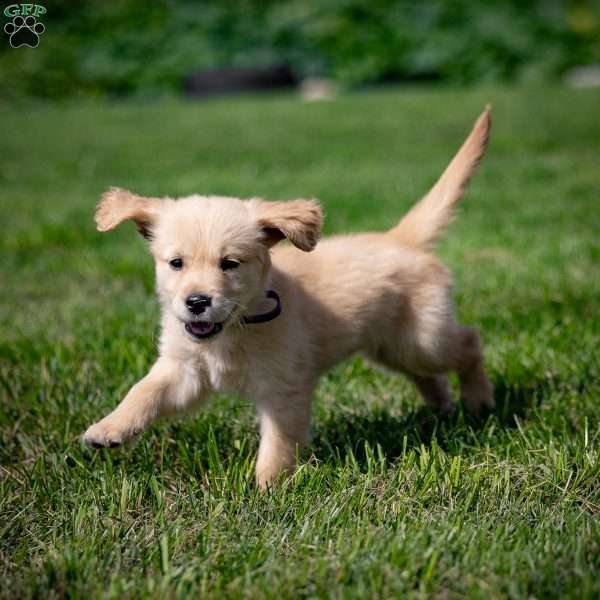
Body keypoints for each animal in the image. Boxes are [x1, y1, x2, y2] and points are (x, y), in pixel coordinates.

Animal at [83, 108, 492, 488]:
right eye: (176, 263)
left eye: (230, 264)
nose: (196, 303)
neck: (235, 329)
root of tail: (401, 237)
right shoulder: (184, 369)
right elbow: (144, 391)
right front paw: (109, 428)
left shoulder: (284, 387)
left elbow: (278, 443)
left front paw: (268, 489)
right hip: (392, 347)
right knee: (426, 373)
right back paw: (441, 407)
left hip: (423, 338)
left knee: (470, 342)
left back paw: (479, 401)